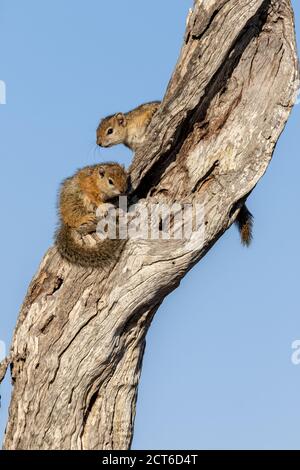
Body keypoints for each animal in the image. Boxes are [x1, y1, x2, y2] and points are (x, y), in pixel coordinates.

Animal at [96, 100, 253, 244]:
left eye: (110, 130)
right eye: (97, 132)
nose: (99, 143)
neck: (129, 130)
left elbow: (149, 111)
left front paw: (153, 113)